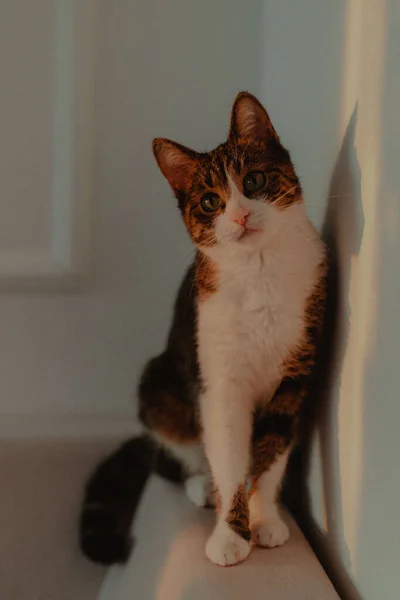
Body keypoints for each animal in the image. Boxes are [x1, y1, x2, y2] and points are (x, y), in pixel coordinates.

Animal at [79, 92, 326, 568]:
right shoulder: (219, 378)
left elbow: (271, 451)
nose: (241, 216)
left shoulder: (294, 374)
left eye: (255, 179)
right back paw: (202, 486)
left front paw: (265, 518)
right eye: (211, 202)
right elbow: (228, 454)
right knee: (172, 459)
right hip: (159, 384)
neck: (259, 271)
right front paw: (230, 535)